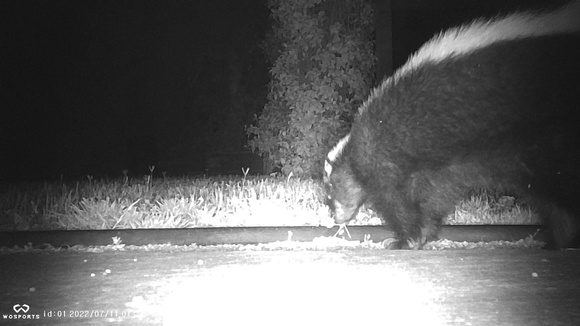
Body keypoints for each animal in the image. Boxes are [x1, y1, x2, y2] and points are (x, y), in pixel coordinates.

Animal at [324, 0, 580, 250]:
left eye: (329, 190)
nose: (335, 218)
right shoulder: (441, 167)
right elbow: (433, 196)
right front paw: (420, 236)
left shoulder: (387, 159)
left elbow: (397, 199)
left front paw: (404, 240)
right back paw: (557, 241)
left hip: (549, 140)